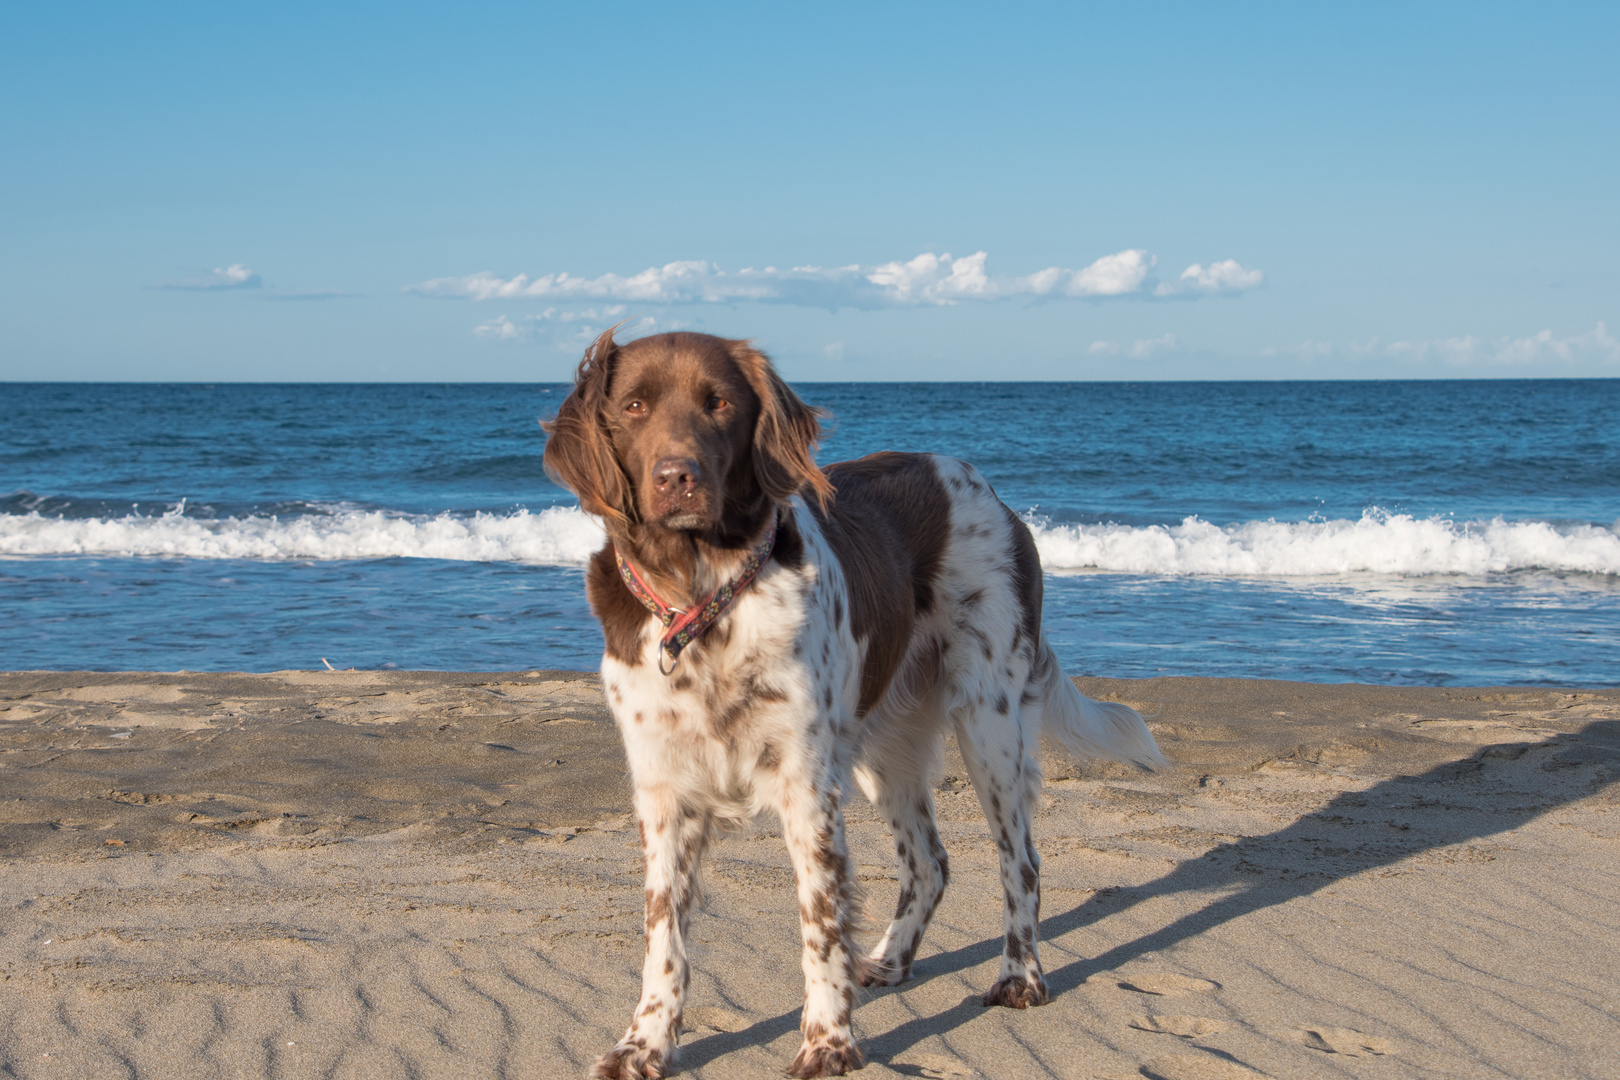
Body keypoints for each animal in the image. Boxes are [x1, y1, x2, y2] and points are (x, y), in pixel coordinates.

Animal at [544, 333, 1166, 1075]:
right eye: (634, 405)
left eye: (719, 403)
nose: (677, 477)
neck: (704, 601)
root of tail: (978, 481)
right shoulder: (665, 793)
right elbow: (663, 936)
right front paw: (645, 1043)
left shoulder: (807, 787)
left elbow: (820, 925)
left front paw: (829, 1043)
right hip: (886, 747)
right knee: (929, 861)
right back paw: (891, 962)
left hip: (989, 724)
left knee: (1020, 860)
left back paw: (1021, 977)